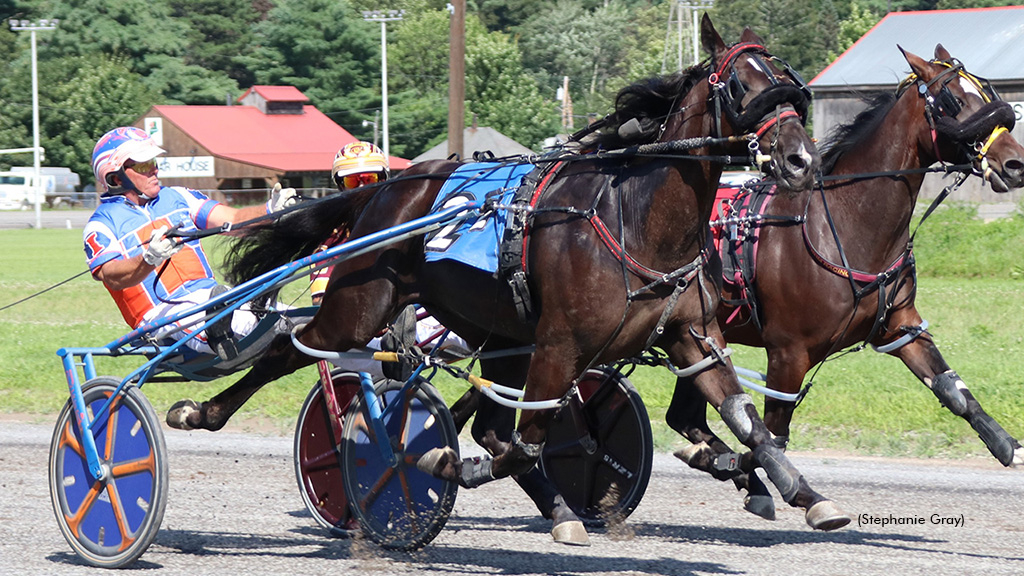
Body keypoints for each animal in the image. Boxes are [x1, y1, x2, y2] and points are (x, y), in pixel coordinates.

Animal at [169, 15, 847, 541]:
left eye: (789, 86)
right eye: (740, 84)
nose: (800, 160)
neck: (635, 219)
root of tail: (384, 191)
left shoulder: (692, 337)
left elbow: (746, 416)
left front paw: (805, 495)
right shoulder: (560, 343)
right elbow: (525, 439)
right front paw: (442, 463)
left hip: (496, 334)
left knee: (485, 419)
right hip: (360, 306)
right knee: (291, 348)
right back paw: (202, 412)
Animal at [667, 42, 1024, 512]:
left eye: (986, 90)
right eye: (953, 101)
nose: (1015, 162)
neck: (843, 222)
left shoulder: (901, 326)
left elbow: (954, 390)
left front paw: (1007, 445)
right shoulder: (787, 354)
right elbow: (770, 437)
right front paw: (763, 476)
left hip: (695, 336)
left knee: (684, 416)